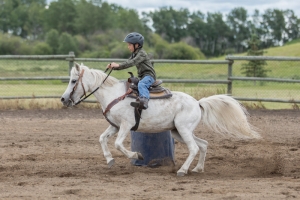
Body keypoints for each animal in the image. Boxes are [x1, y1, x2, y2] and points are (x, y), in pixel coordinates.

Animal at [60, 63, 260, 177]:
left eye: (73, 81)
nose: (63, 99)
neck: (113, 94)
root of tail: (197, 102)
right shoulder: (115, 126)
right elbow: (102, 139)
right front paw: (110, 160)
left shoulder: (126, 125)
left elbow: (118, 144)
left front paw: (137, 155)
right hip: (177, 131)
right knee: (203, 145)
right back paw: (197, 169)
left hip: (183, 129)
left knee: (194, 148)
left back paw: (182, 171)